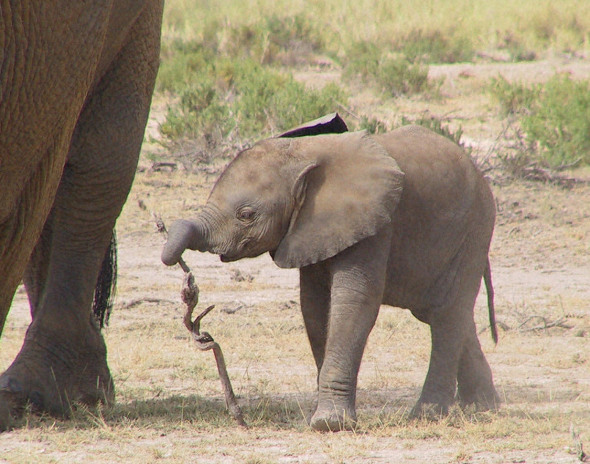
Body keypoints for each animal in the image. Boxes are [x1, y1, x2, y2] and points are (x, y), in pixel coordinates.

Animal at [164, 117, 502, 432]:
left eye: (246, 215)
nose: (186, 280)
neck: (305, 153)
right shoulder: (310, 229)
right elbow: (314, 307)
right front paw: (323, 415)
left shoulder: (373, 223)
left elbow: (353, 303)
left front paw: (329, 424)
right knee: (443, 313)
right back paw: (483, 407)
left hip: (474, 230)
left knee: (447, 314)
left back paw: (428, 415)